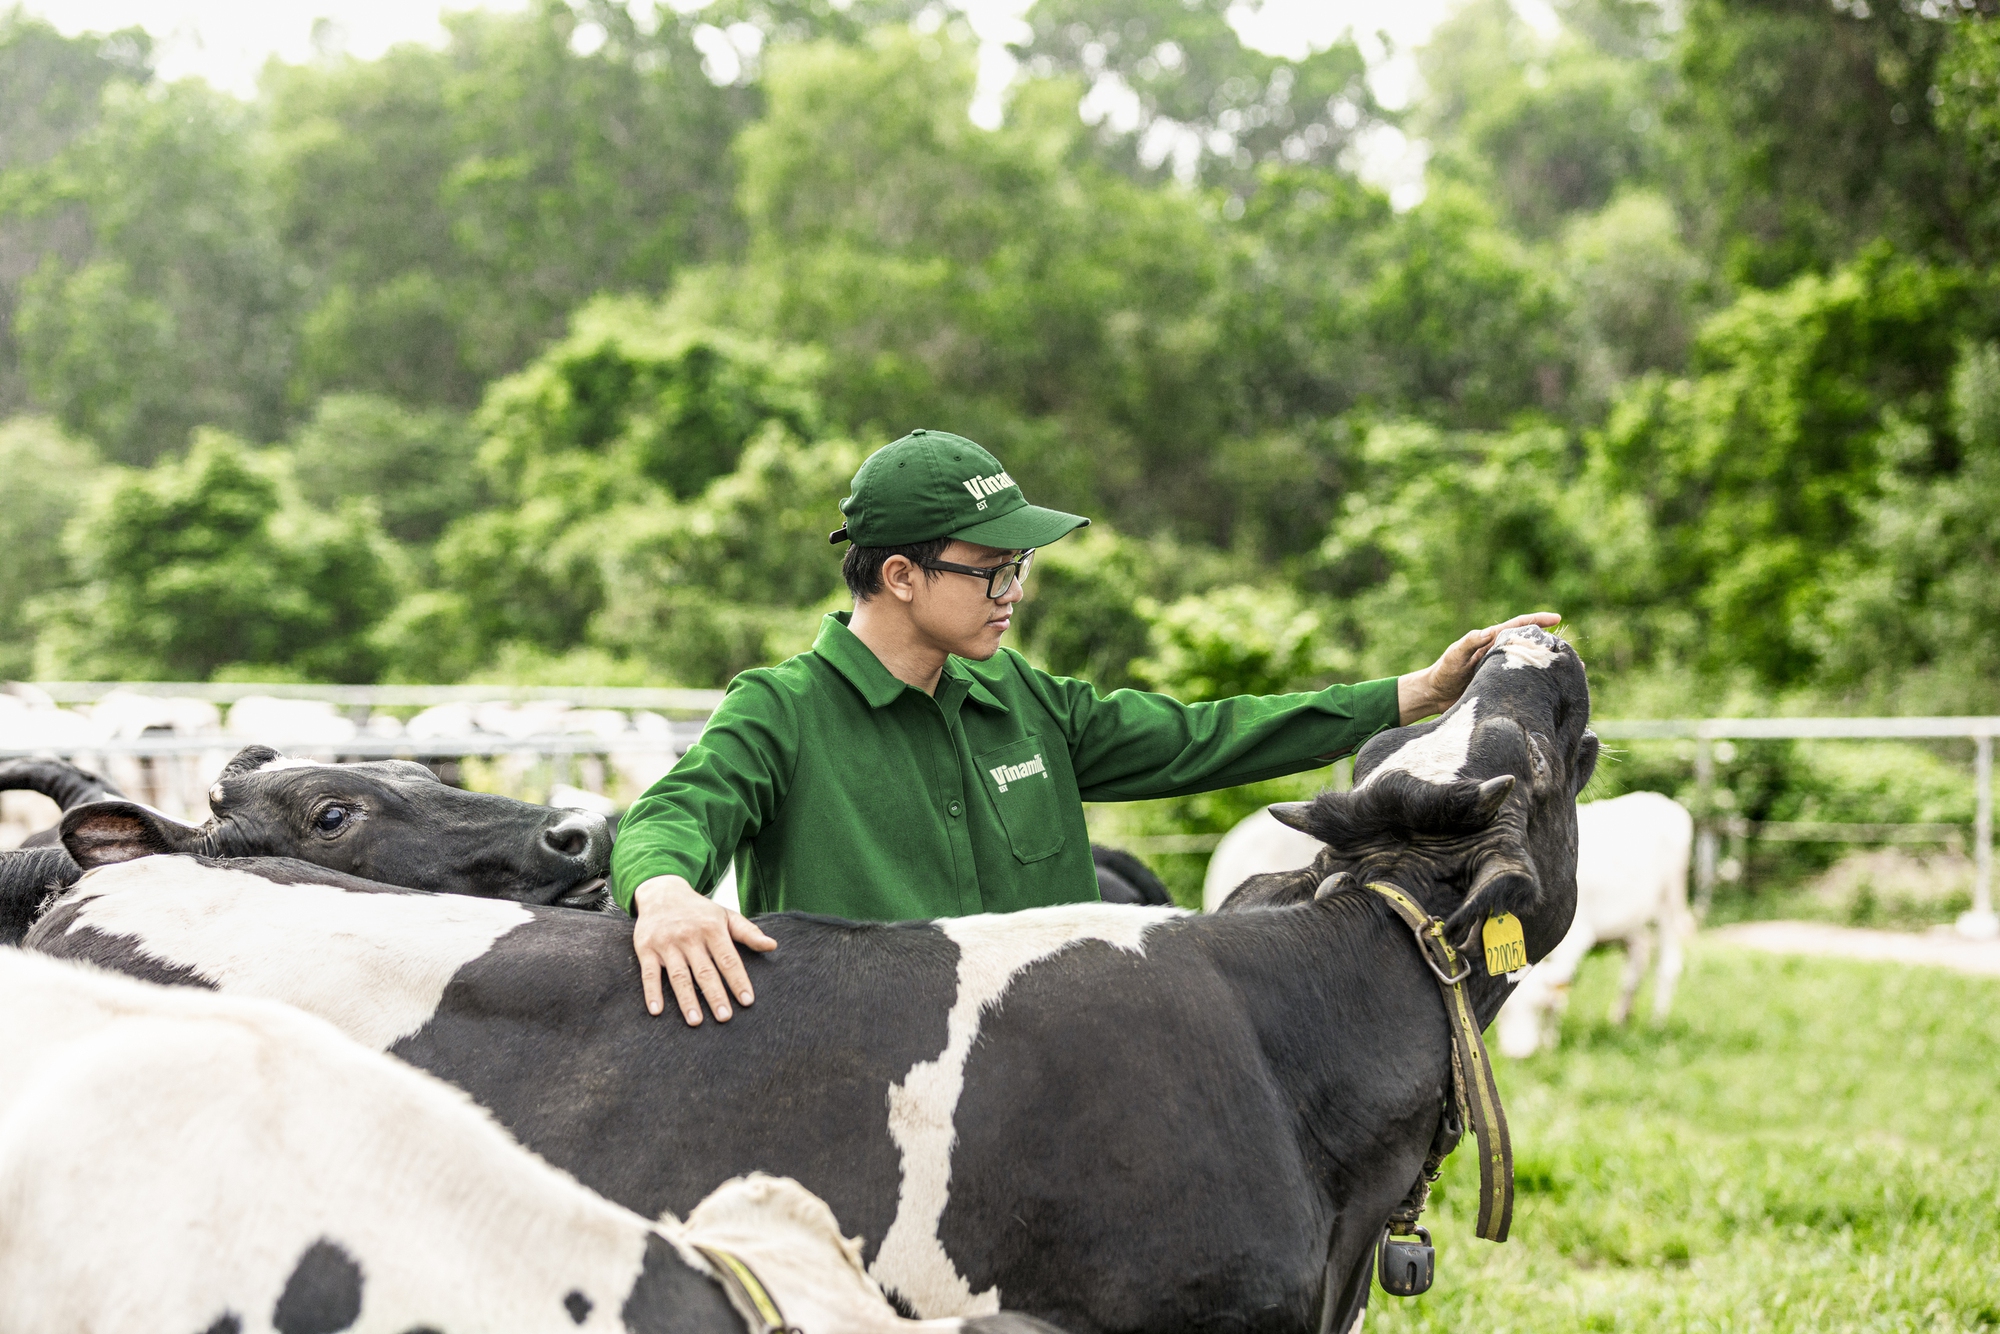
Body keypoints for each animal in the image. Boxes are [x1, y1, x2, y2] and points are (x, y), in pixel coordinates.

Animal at [1192, 792, 1696, 1056]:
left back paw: (1656, 1021)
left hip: (1672, 903)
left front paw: (1551, 1040)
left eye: (1530, 1010)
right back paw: (1622, 1017)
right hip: (1635, 922)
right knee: (1638, 960)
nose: (1518, 1054)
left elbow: (1560, 992)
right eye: (1505, 1012)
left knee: (1668, 960)